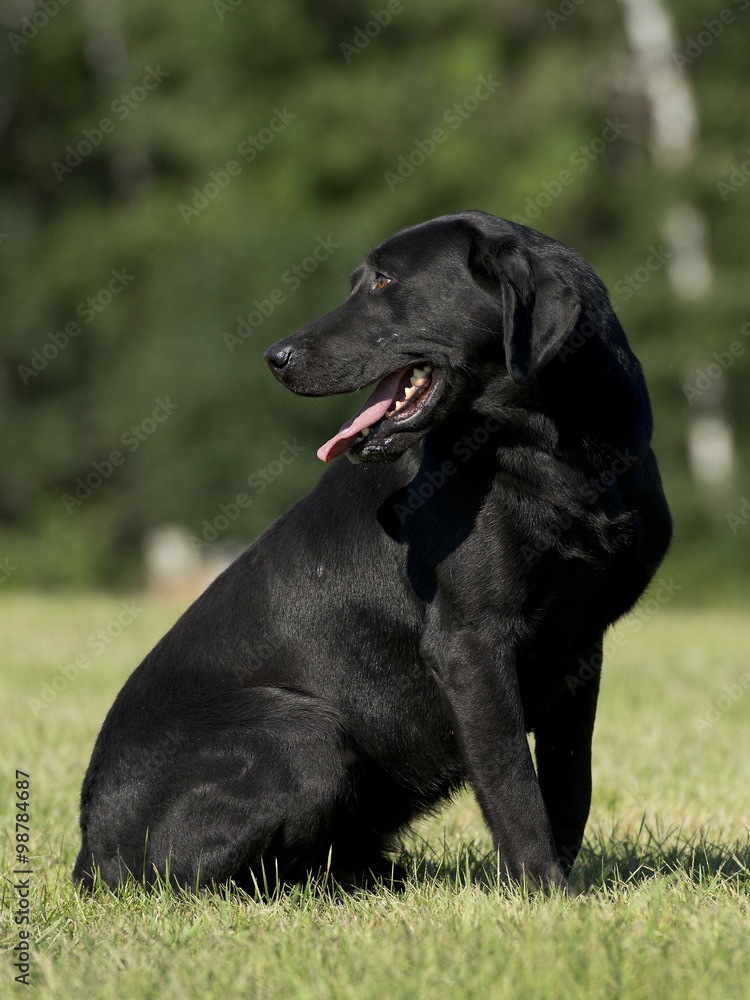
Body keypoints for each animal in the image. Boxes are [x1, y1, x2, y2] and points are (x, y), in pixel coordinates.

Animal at [73, 209, 676, 892]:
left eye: (385, 281)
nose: (274, 357)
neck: (560, 457)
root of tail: (88, 850)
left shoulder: (580, 645)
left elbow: (570, 785)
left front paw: (571, 888)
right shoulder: (471, 643)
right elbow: (513, 785)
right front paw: (545, 892)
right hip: (304, 732)